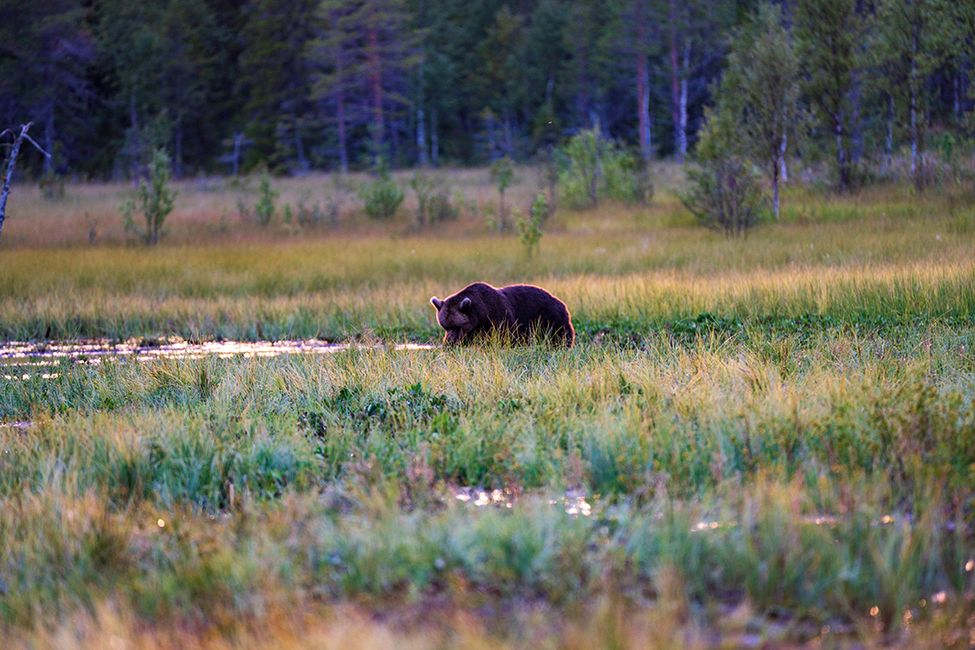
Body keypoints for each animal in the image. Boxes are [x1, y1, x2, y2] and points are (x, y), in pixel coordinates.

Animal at [430, 282, 574, 347]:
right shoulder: (474, 329)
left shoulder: (498, 317)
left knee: (560, 335)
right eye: (445, 326)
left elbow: (506, 335)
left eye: (457, 326)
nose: (449, 341)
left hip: (550, 317)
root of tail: (562, 303)